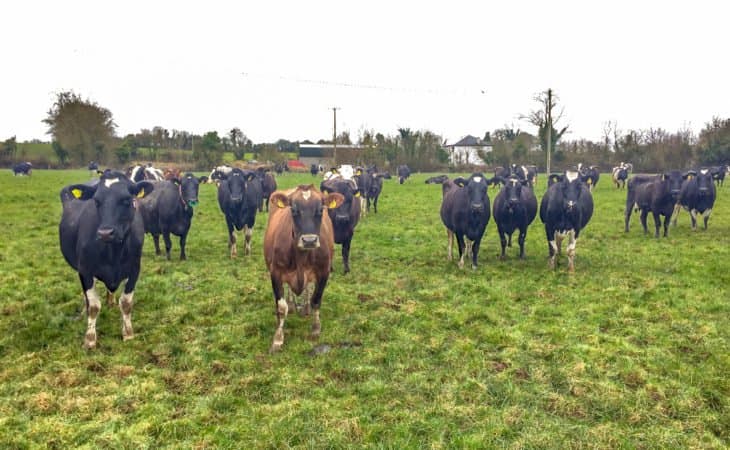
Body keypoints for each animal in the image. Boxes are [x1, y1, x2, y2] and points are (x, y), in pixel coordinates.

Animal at [58, 171, 154, 348]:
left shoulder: (134, 269)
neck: (114, 253)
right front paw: (90, 339)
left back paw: (111, 301)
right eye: (96, 201)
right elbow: (94, 305)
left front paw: (128, 333)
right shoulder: (85, 270)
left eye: (126, 200)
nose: (105, 233)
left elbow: (126, 303)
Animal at [264, 184, 342, 352]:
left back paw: (305, 308)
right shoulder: (275, 272)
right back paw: (293, 305)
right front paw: (278, 339)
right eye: (293, 210)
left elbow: (316, 300)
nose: (309, 240)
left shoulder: (324, 271)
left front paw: (316, 328)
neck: (300, 257)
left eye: (320, 210)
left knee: (308, 288)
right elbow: (281, 308)